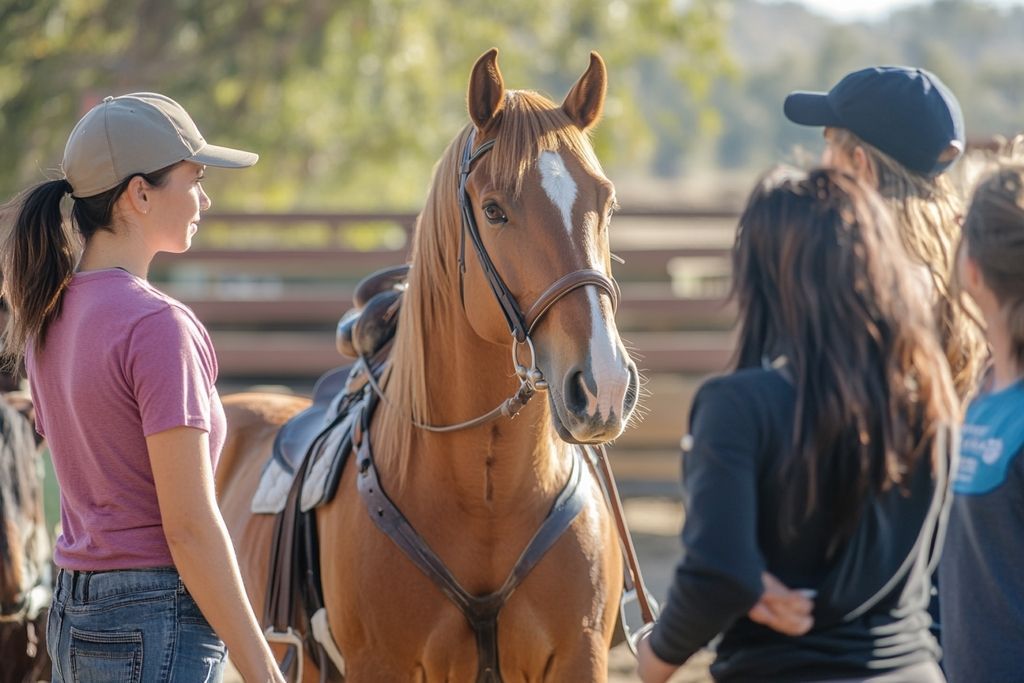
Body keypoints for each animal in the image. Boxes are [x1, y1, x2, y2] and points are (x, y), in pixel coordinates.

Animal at [216, 48, 639, 681]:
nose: (604, 385)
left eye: (606, 205)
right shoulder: (379, 664)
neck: (488, 499)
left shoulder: (578, 658)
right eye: (493, 210)